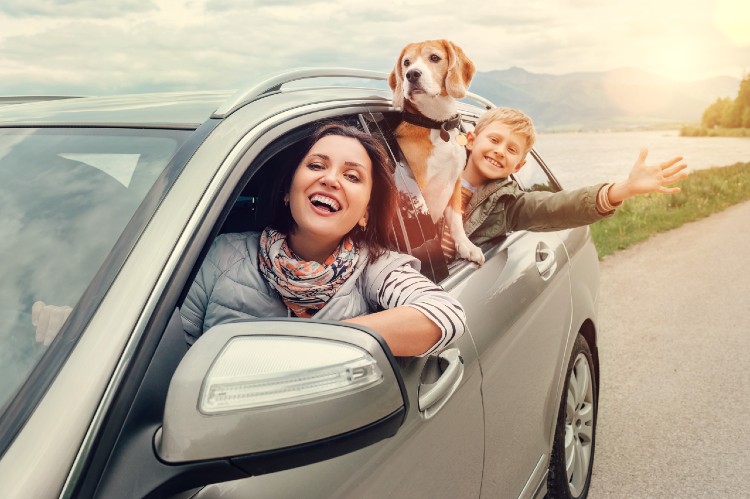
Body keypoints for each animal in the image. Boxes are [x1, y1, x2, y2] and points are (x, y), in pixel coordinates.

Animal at [388, 40, 488, 266]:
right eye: (406, 62)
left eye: (434, 58)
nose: (411, 74)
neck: (437, 124)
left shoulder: (455, 182)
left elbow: (456, 220)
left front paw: (466, 246)